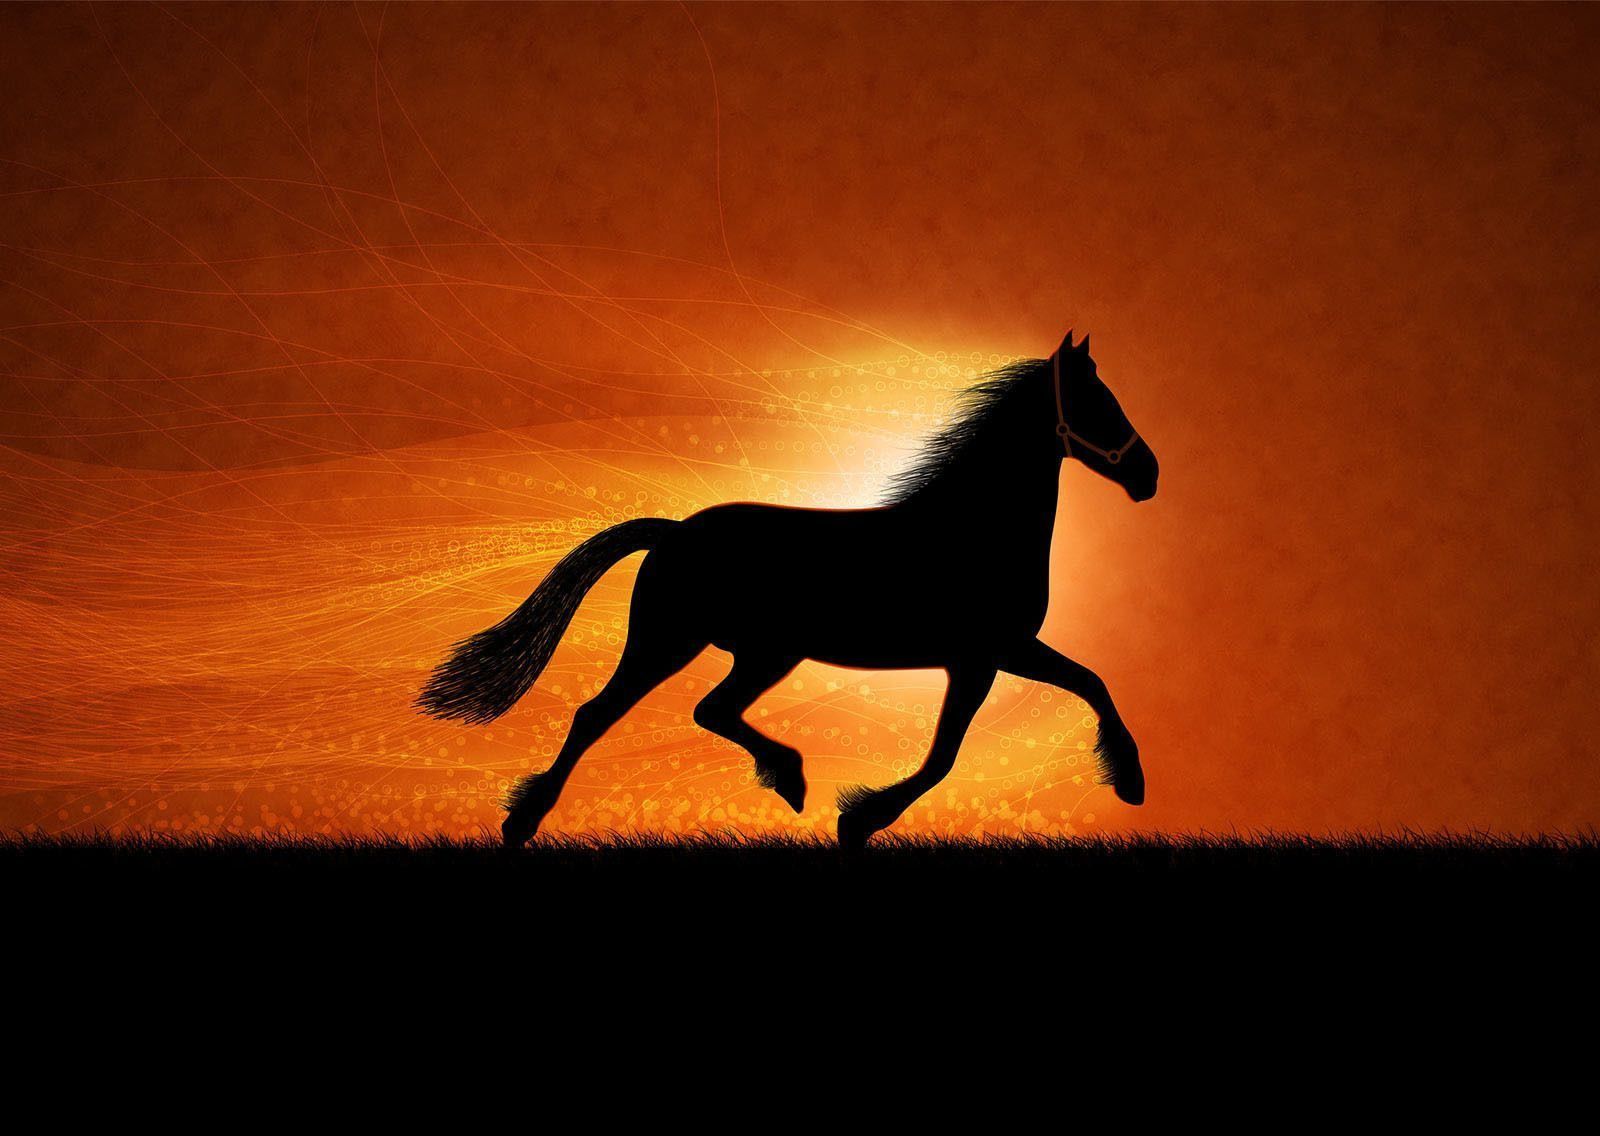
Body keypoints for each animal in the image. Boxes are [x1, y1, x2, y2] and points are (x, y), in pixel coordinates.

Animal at [418, 330, 1158, 849]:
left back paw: (789, 778)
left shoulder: (997, 653)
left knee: (708, 711)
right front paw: (859, 820)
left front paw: (1129, 781)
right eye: (1098, 402)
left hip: (760, 653)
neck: (973, 528)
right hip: (676, 643)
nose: (1148, 475)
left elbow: (1087, 685)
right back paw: (523, 823)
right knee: (599, 715)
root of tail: (675, 532)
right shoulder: (985, 655)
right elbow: (950, 754)